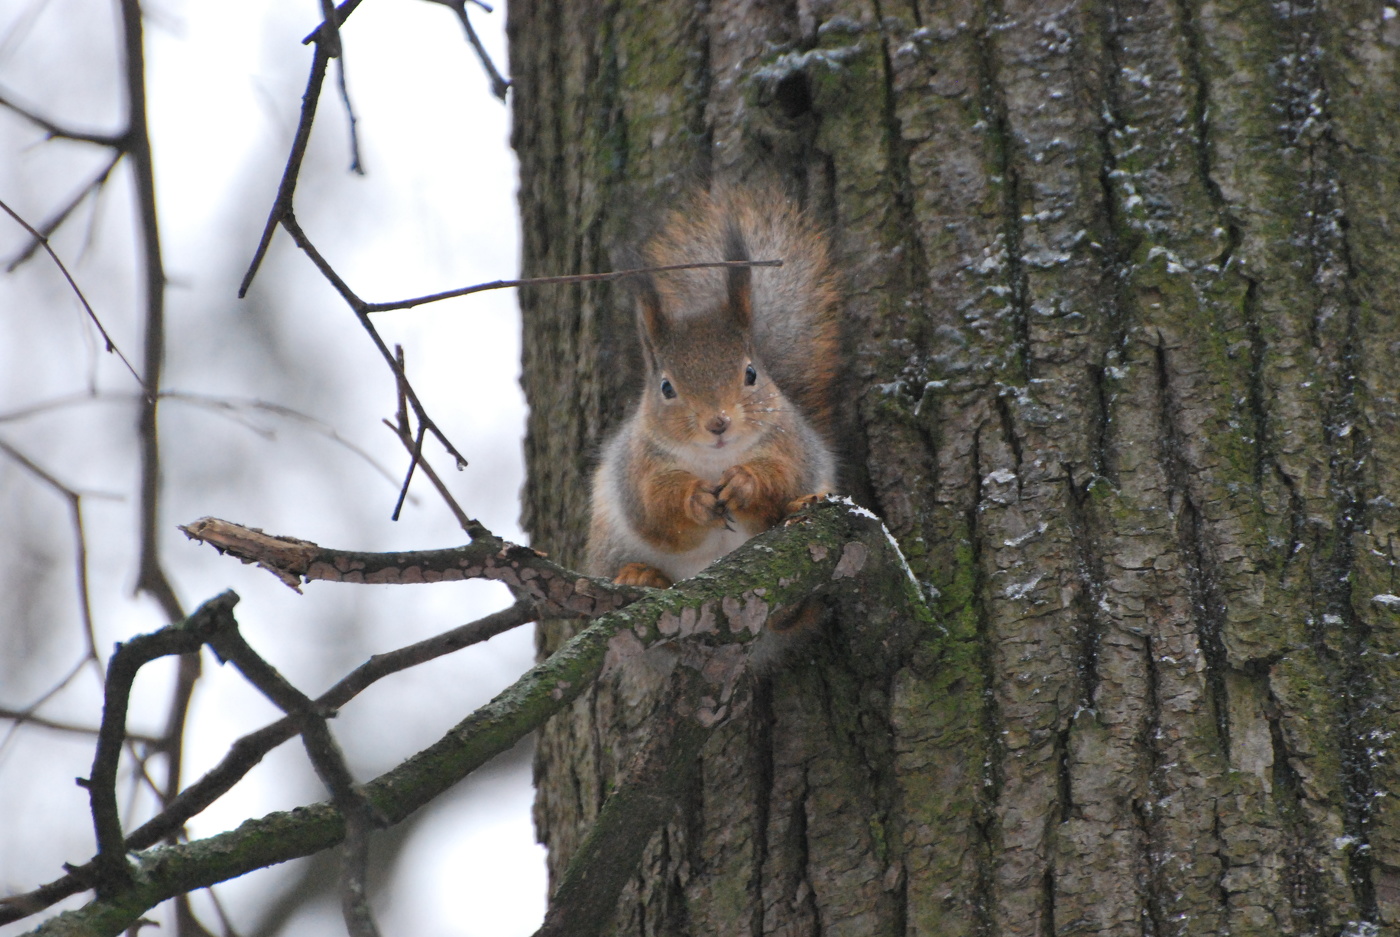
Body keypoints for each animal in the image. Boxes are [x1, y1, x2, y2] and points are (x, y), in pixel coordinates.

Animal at [582, 186, 834, 588]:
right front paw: (695, 498)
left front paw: (745, 482)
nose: (718, 423)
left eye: (751, 374)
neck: (716, 460)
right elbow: (655, 505)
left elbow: (783, 478)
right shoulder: (639, 465)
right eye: (666, 387)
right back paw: (640, 574)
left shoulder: (792, 446)